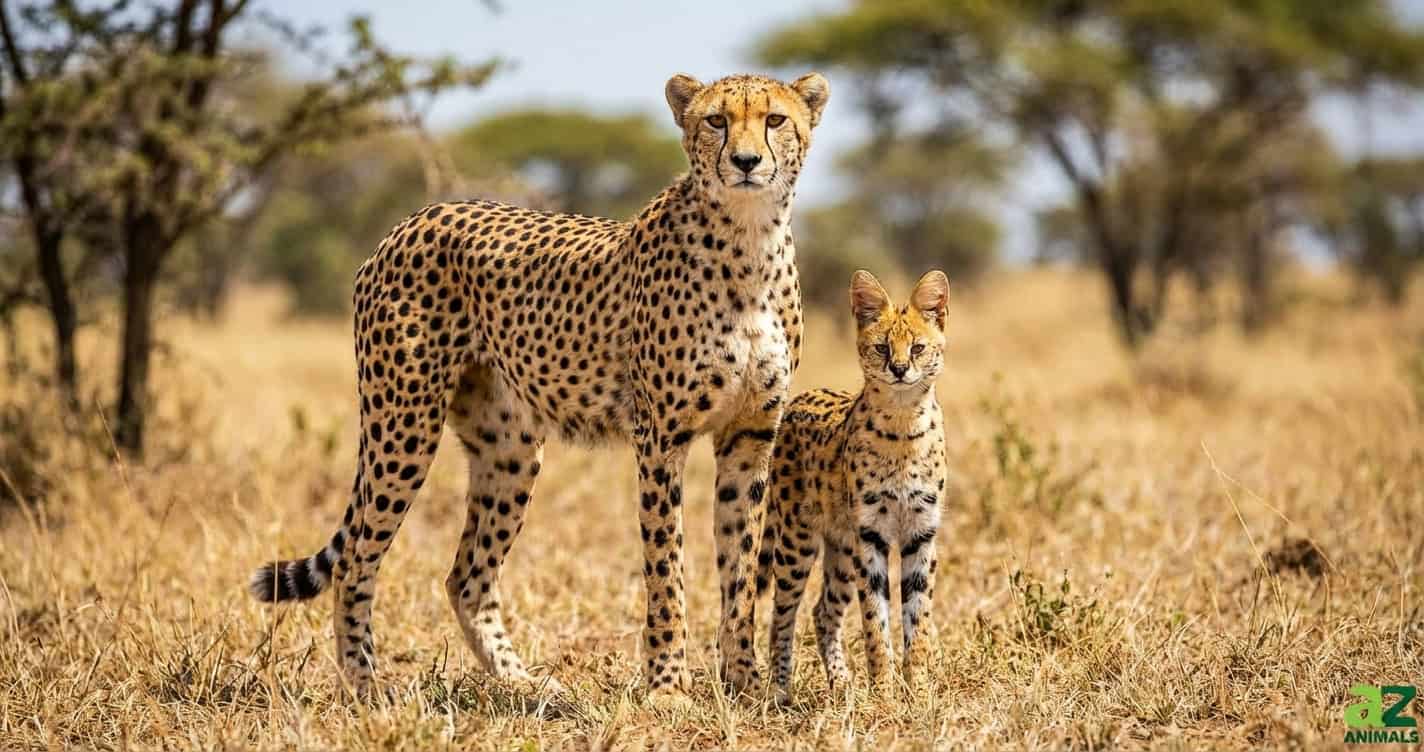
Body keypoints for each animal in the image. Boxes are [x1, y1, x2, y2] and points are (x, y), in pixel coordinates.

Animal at [245, 72, 830, 703]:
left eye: (774, 120)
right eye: (716, 121)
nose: (746, 162)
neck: (749, 240)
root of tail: (414, 218)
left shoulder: (749, 438)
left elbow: (740, 571)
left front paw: (747, 684)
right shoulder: (660, 439)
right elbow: (666, 568)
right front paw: (668, 686)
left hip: (509, 449)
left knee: (466, 577)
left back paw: (524, 684)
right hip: (403, 423)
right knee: (357, 558)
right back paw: (366, 685)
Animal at [756, 269, 950, 705]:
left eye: (917, 348)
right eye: (881, 347)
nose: (899, 368)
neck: (902, 425)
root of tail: (800, 398)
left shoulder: (920, 533)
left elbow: (918, 617)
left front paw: (918, 691)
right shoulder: (872, 536)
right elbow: (875, 622)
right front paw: (884, 694)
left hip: (842, 549)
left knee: (824, 611)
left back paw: (841, 684)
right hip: (798, 541)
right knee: (782, 613)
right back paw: (780, 690)